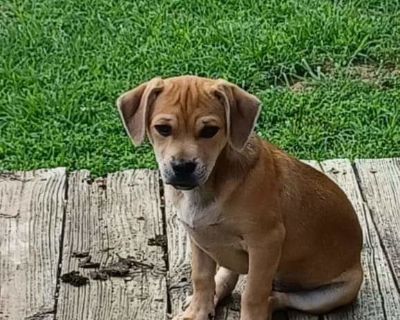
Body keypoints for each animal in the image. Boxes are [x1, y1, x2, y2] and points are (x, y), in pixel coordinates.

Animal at [115, 75, 362, 320]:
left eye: (210, 131)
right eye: (163, 129)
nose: (183, 167)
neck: (209, 187)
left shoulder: (265, 242)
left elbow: (253, 293)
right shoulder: (198, 238)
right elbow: (201, 278)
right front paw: (197, 312)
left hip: (333, 294)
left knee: (276, 298)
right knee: (230, 276)